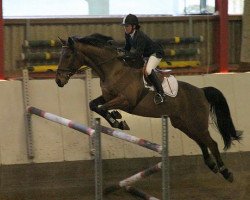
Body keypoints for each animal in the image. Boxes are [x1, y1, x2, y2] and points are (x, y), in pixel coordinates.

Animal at [55, 33, 241, 183]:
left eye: (68, 55)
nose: (58, 81)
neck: (112, 70)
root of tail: (201, 91)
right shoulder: (108, 97)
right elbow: (94, 105)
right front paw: (117, 121)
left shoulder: (126, 101)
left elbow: (102, 108)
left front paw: (118, 120)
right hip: (183, 124)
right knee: (201, 141)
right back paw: (211, 165)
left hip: (197, 123)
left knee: (212, 143)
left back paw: (226, 172)